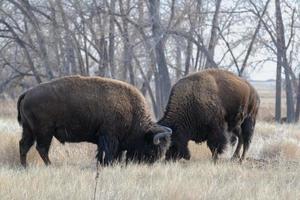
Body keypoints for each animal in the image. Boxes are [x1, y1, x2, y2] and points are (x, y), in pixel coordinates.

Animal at [17, 76, 171, 166]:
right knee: (41, 148)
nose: (150, 163)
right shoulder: (109, 137)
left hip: (29, 130)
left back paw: (25, 167)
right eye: (153, 147)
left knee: (24, 145)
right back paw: (50, 165)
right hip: (44, 131)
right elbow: (106, 153)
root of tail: (27, 93)